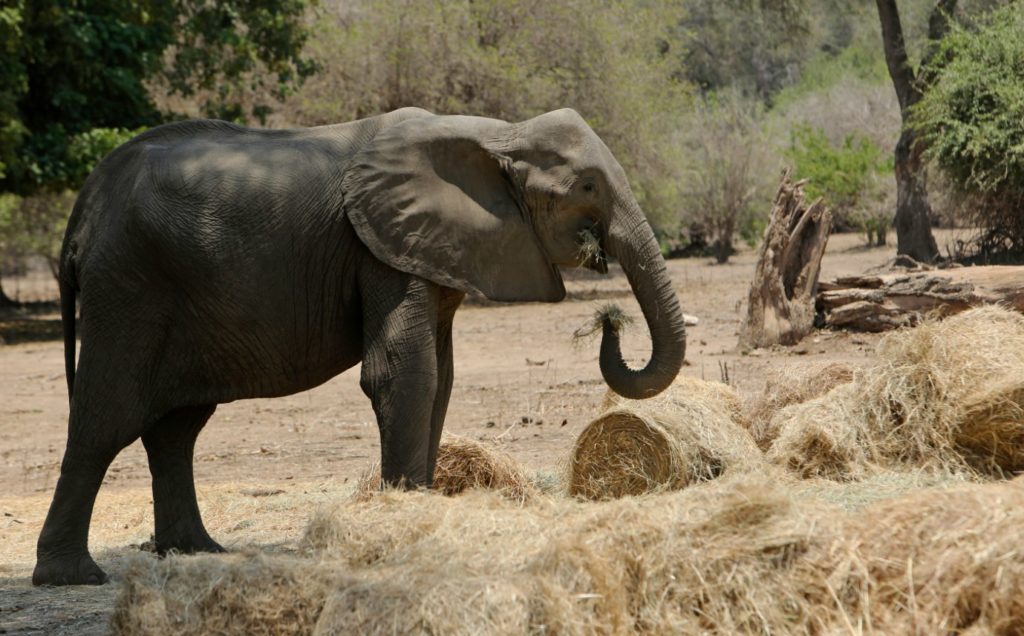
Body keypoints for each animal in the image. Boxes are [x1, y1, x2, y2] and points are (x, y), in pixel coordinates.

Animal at [34, 105, 688, 585]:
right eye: (586, 186)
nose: (609, 323)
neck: (496, 132)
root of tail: (82, 209)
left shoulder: (429, 248)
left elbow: (440, 377)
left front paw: (422, 513)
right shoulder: (380, 246)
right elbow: (404, 371)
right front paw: (402, 526)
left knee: (177, 429)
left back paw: (198, 553)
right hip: (129, 287)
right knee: (106, 418)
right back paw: (73, 577)